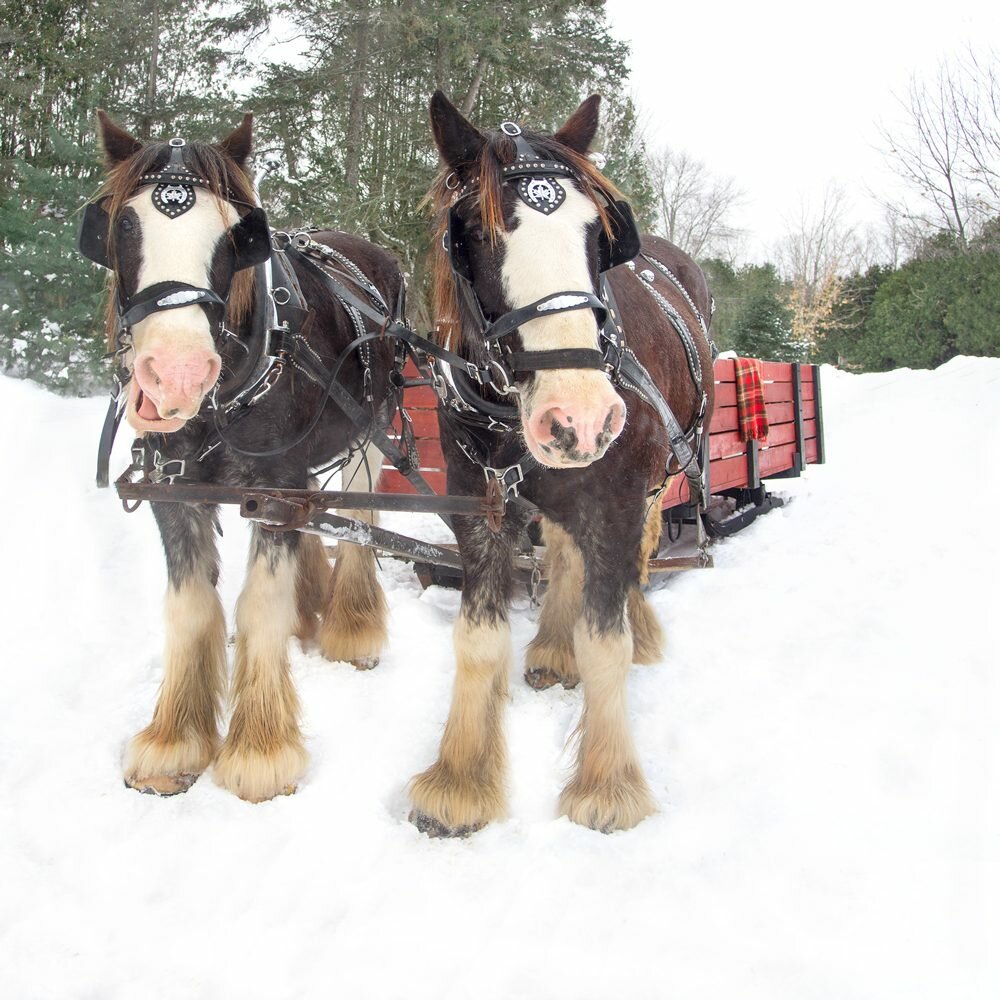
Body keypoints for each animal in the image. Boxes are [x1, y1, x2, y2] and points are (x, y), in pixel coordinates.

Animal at [410, 92, 716, 836]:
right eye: (478, 234)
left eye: (597, 236)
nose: (580, 416)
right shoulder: (479, 508)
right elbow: (477, 639)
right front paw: (460, 780)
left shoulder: (618, 497)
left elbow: (607, 643)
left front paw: (608, 785)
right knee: (561, 544)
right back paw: (552, 647)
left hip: (656, 475)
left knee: (637, 557)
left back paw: (634, 625)